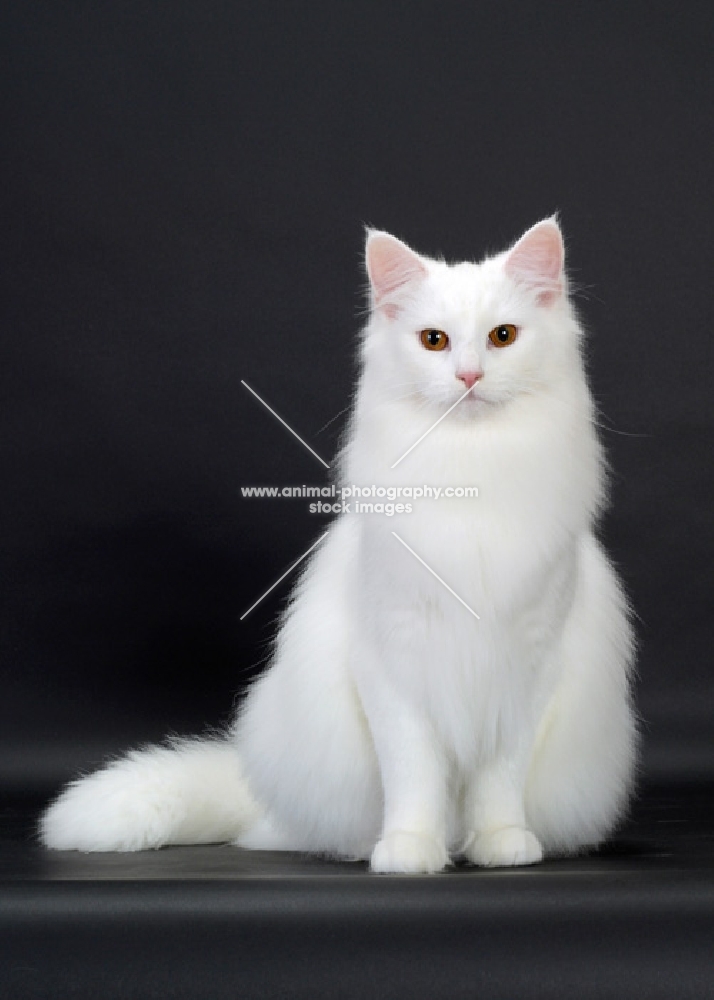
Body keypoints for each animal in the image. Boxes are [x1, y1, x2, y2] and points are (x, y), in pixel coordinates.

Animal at [39, 221, 636, 876]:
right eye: (434, 341)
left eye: (502, 337)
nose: (469, 377)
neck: (468, 472)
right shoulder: (393, 665)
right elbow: (414, 776)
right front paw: (409, 850)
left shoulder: (528, 671)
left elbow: (498, 780)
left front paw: (502, 844)